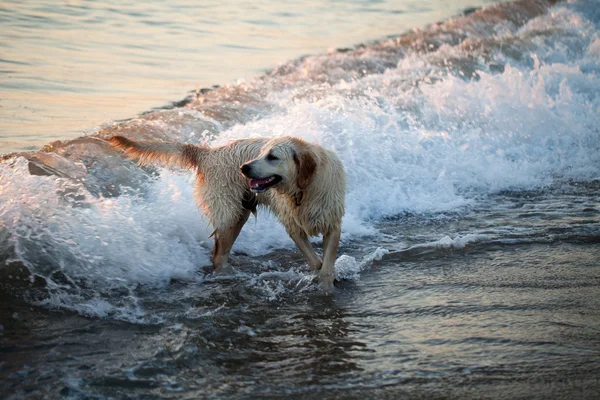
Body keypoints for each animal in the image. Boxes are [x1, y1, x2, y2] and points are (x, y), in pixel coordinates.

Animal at [108, 136, 346, 292]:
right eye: (261, 154)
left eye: (273, 157)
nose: (244, 168)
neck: (303, 189)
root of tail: (209, 153)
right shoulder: (293, 227)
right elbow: (315, 261)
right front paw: (323, 278)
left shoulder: (333, 224)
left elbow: (326, 261)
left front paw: (327, 282)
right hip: (228, 214)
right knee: (217, 256)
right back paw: (227, 277)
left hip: (238, 215)